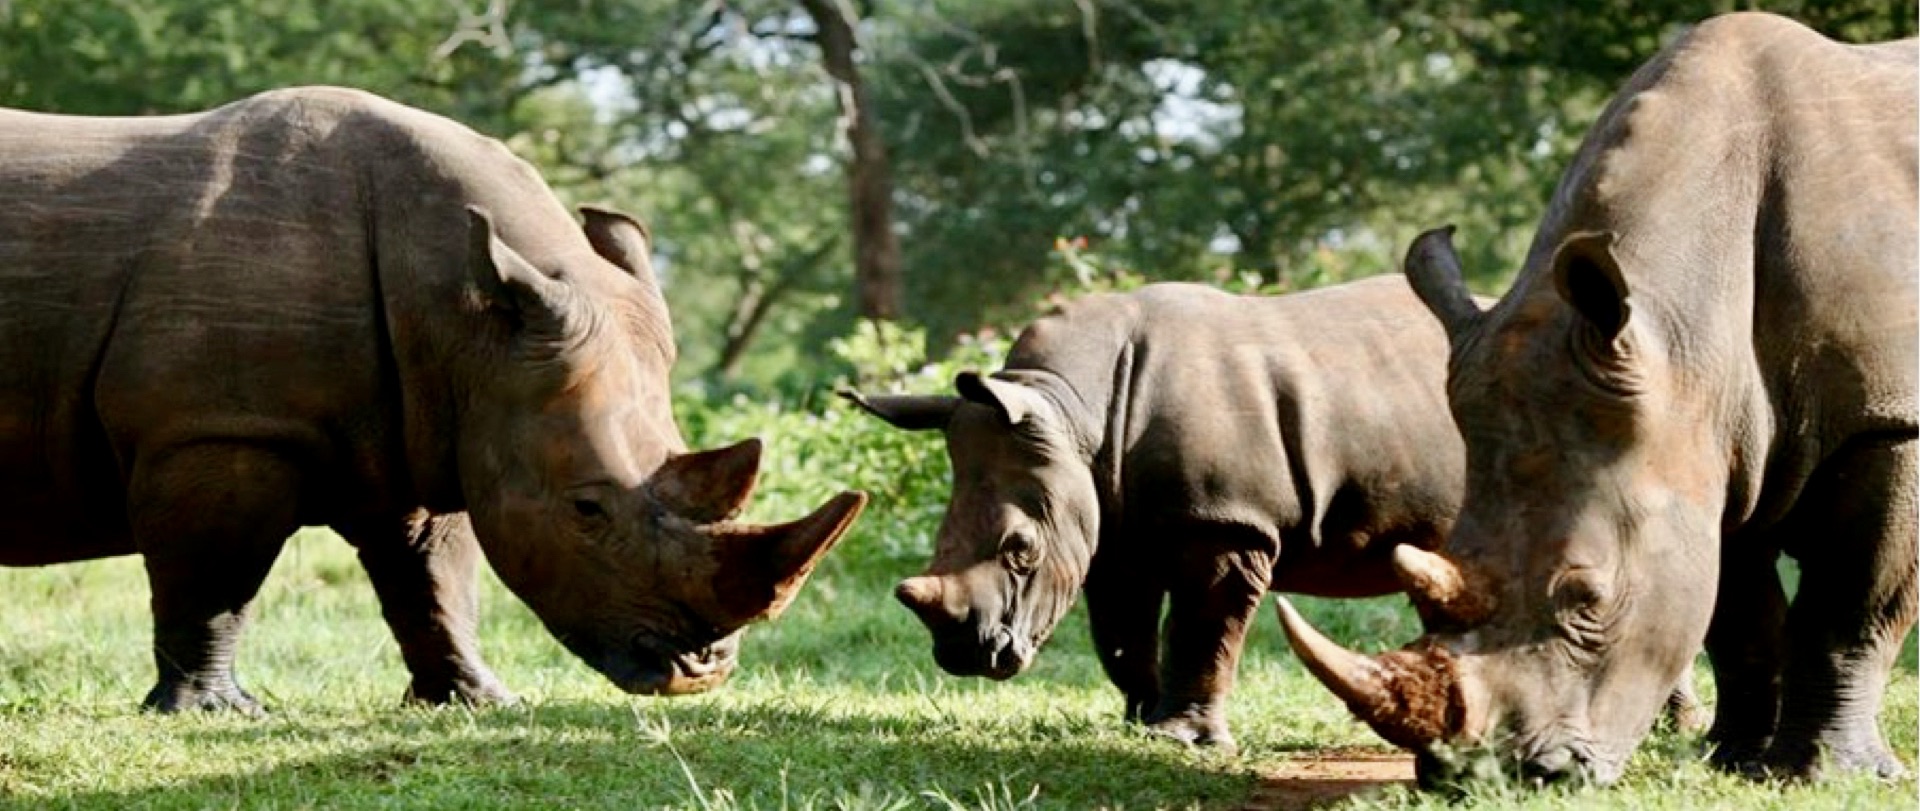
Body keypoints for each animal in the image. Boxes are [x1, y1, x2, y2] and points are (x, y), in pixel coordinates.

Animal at [0, 87, 867, 712]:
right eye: (587, 509)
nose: (700, 671)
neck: (466, 317)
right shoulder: (220, 429)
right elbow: (214, 579)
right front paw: (210, 711)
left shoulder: (431, 418)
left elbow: (434, 577)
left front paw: (479, 700)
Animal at [1276, 13, 1917, 785]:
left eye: (1588, 598)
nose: (1490, 777)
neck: (1686, 321)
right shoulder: (1712, 437)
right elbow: (1736, 614)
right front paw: (1732, 759)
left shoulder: (1888, 420)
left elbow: (1848, 609)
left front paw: (1820, 775)